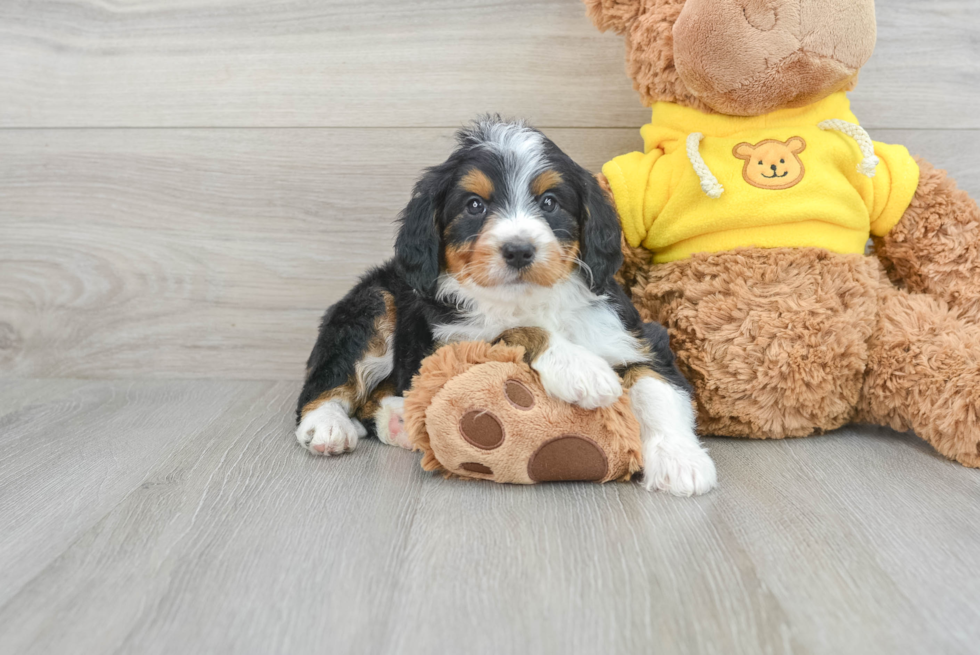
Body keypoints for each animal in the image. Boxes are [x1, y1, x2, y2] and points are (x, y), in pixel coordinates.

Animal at [294, 118, 716, 498]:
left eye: (549, 202)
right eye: (474, 205)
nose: (518, 250)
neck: (530, 298)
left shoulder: (635, 337)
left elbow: (656, 388)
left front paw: (680, 461)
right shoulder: (449, 345)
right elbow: (513, 330)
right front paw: (580, 368)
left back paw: (398, 422)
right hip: (372, 306)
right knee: (321, 387)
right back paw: (328, 426)